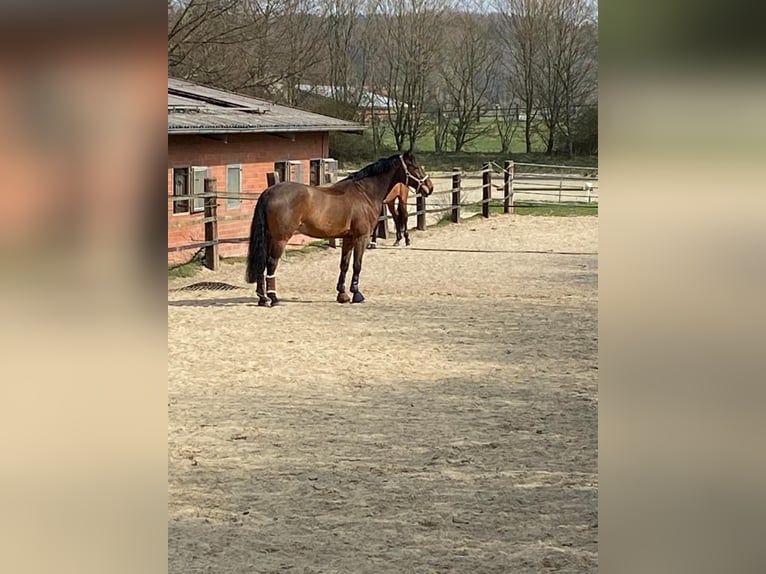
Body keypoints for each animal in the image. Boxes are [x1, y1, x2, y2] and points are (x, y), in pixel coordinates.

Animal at [246, 152, 432, 306]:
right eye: (415, 167)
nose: (429, 188)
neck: (364, 193)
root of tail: (269, 192)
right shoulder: (361, 237)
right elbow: (357, 264)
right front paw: (357, 294)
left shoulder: (348, 238)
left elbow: (344, 264)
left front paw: (342, 294)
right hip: (280, 239)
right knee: (271, 263)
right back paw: (273, 297)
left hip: (269, 237)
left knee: (262, 262)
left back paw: (262, 298)